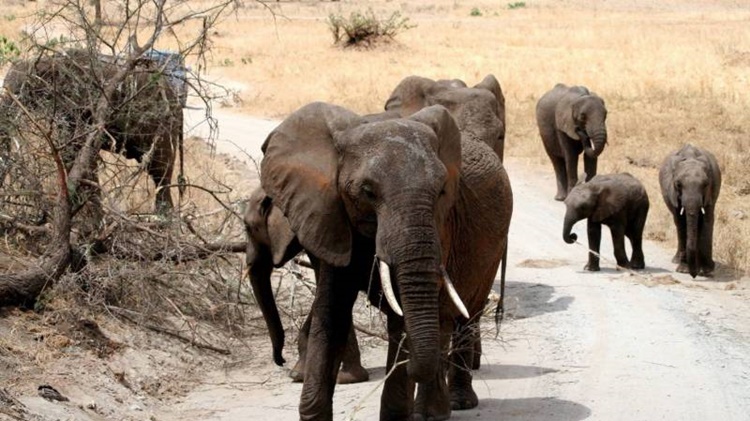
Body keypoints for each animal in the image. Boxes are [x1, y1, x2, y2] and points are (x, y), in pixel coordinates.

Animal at [262, 102, 516, 420]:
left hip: (492, 246)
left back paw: (450, 406)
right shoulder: (330, 213)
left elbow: (405, 319)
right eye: (368, 191)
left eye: (442, 191)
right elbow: (330, 313)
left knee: (463, 315)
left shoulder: (441, 224)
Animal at [664, 143, 724, 278]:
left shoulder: (711, 192)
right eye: (678, 185)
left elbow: (707, 220)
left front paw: (707, 271)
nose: (694, 275)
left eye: (705, 184)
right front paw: (684, 270)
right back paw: (677, 261)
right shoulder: (673, 194)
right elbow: (682, 222)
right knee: (678, 223)